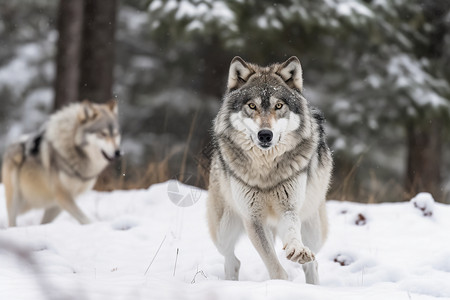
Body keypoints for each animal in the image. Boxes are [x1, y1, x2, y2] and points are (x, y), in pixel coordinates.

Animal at [207, 56, 330, 284]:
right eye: (252, 105)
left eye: (278, 105)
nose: (265, 134)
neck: (266, 171)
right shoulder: (253, 218)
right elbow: (274, 265)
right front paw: (280, 283)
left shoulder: (289, 209)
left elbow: (293, 235)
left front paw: (296, 250)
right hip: (223, 229)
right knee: (231, 260)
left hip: (313, 228)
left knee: (313, 263)